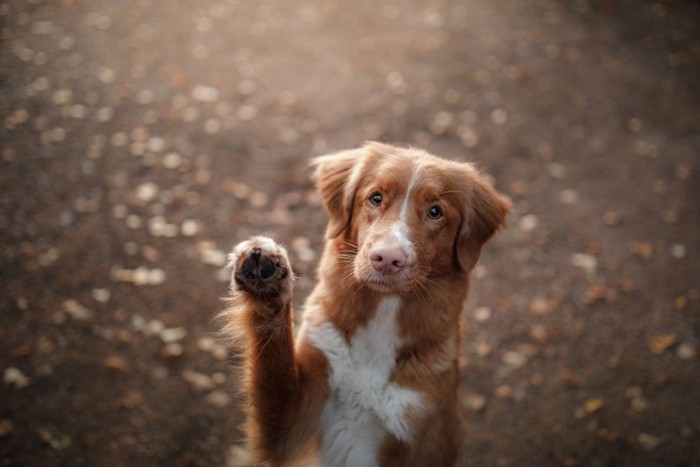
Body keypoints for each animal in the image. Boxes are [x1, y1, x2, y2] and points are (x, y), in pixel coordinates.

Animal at [224, 143, 508, 467]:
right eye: (376, 198)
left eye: (436, 212)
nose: (387, 258)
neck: (381, 318)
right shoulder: (290, 426)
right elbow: (273, 360)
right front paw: (267, 280)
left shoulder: (418, 435)